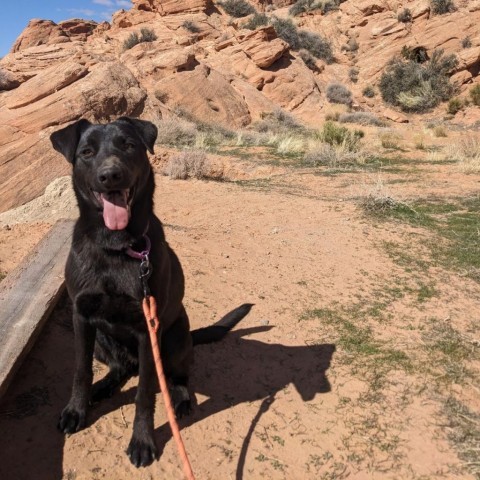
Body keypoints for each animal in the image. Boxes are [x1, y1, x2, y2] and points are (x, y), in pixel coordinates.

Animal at [49, 118, 251, 466]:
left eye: (128, 145)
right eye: (86, 152)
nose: (110, 175)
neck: (116, 248)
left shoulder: (148, 330)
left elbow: (144, 393)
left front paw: (143, 441)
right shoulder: (81, 316)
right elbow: (80, 370)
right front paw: (77, 409)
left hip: (175, 339)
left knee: (176, 378)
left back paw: (181, 401)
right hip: (103, 340)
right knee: (120, 368)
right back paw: (103, 387)